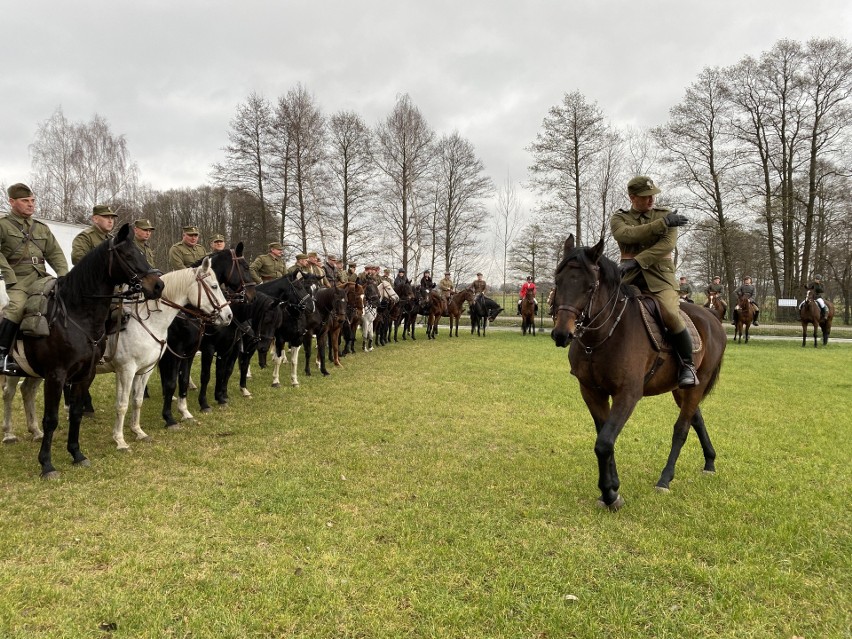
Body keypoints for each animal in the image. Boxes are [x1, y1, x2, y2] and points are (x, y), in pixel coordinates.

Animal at [1, 258, 233, 450]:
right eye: (214, 286)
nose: (228, 315)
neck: (149, 322)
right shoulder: (126, 370)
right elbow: (122, 404)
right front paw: (120, 440)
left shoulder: (145, 370)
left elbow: (137, 400)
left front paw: (138, 431)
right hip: (22, 370)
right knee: (9, 393)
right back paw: (10, 434)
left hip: (37, 371)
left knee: (27, 391)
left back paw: (36, 431)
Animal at [8, 222, 164, 478]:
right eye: (128, 255)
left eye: (142, 253)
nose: (158, 285)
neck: (76, 316)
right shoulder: (57, 375)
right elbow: (51, 419)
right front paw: (47, 464)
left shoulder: (85, 374)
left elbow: (76, 413)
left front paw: (77, 454)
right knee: (9, 394)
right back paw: (9, 434)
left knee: (26, 391)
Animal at [548, 238, 724, 512]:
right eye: (558, 281)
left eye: (590, 286)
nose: (561, 334)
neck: (602, 337)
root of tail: (712, 317)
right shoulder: (591, 392)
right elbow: (604, 437)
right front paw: (611, 489)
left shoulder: (628, 394)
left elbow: (604, 442)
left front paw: (610, 494)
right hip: (680, 389)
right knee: (697, 419)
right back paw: (710, 462)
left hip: (697, 384)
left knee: (682, 428)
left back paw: (665, 479)